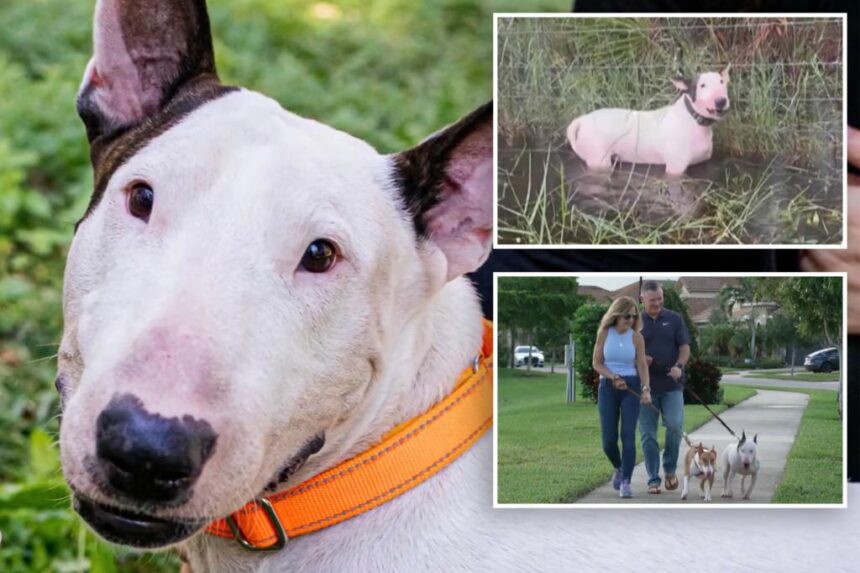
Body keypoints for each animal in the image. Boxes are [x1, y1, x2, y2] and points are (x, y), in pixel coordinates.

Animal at [568, 64, 728, 173]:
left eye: (722, 82)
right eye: (702, 85)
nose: (721, 101)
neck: (693, 119)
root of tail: (582, 120)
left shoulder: (702, 163)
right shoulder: (675, 169)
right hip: (599, 160)